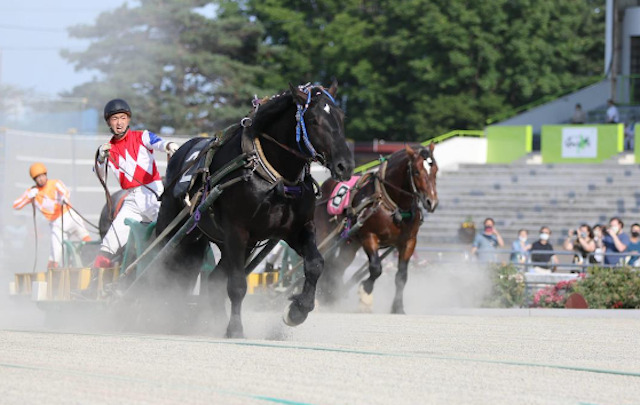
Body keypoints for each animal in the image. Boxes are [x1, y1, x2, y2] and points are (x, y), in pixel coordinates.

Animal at [156, 80, 356, 336]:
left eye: (341, 116)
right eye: (313, 120)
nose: (345, 165)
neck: (273, 176)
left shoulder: (297, 229)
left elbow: (315, 264)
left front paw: (297, 310)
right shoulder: (236, 231)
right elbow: (237, 285)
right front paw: (235, 328)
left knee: (213, 280)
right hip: (174, 228)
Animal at [314, 144, 438, 314]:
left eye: (436, 170)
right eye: (417, 171)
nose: (431, 202)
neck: (391, 203)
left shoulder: (409, 241)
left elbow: (401, 276)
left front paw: (398, 307)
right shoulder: (369, 236)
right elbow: (376, 268)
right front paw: (365, 295)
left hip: (350, 244)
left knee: (338, 266)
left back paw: (331, 295)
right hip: (325, 235)